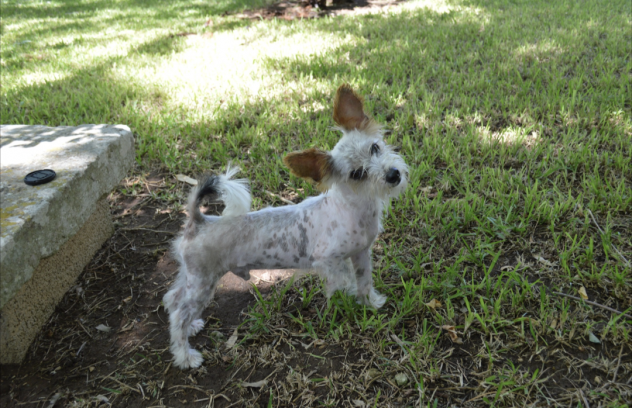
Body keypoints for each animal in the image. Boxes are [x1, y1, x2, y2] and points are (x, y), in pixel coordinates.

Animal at [163, 84, 410, 368]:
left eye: (375, 148)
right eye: (358, 174)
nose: (393, 175)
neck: (352, 208)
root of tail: (199, 220)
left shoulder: (361, 254)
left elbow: (364, 280)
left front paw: (371, 303)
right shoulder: (327, 261)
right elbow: (342, 283)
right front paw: (347, 304)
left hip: (190, 277)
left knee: (172, 299)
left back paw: (191, 328)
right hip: (202, 283)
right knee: (178, 315)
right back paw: (185, 355)